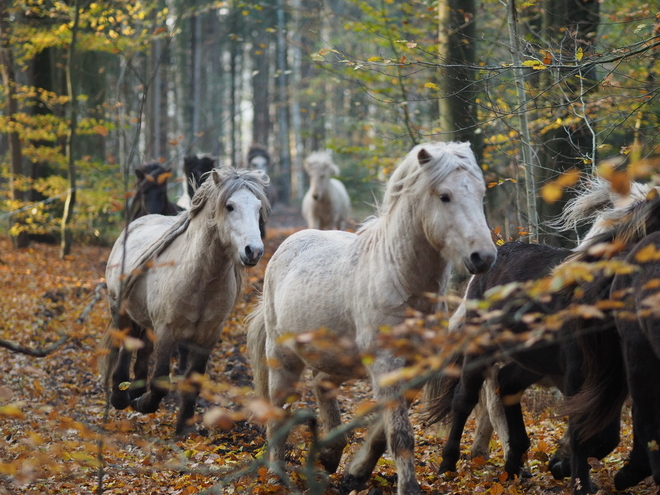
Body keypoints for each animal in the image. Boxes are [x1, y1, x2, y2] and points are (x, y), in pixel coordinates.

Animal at [100, 169, 268, 436]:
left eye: (258, 207)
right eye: (229, 206)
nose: (254, 251)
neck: (199, 279)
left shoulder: (207, 337)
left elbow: (193, 383)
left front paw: (184, 429)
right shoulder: (167, 331)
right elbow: (160, 381)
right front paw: (143, 404)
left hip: (145, 321)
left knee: (142, 349)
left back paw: (134, 390)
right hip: (122, 311)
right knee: (125, 345)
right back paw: (121, 397)